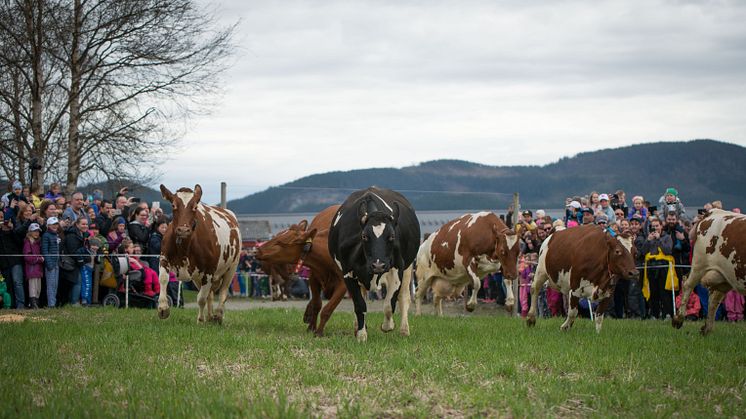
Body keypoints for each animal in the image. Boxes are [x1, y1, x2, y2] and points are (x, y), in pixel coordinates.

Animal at [155, 185, 240, 324]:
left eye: (195, 206)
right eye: (173, 205)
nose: (183, 230)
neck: (184, 248)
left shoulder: (209, 270)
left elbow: (201, 298)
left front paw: (200, 320)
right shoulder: (164, 258)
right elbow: (163, 279)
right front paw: (163, 308)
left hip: (232, 267)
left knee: (222, 293)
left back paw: (218, 315)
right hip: (197, 277)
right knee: (210, 295)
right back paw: (210, 316)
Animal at [254, 206, 344, 338]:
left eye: (280, 242)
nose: (257, 250)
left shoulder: (344, 284)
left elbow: (328, 309)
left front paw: (319, 332)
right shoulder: (313, 278)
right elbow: (317, 304)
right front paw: (311, 328)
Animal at [328, 189, 422, 342]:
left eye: (392, 236)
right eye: (364, 236)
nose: (378, 265)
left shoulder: (397, 269)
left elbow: (389, 304)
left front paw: (387, 326)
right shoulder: (348, 272)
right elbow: (359, 305)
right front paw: (361, 335)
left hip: (408, 267)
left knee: (404, 297)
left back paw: (404, 330)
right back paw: (358, 327)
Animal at [668, 208, 744, 336]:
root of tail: (713, 211)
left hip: (725, 275)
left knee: (714, 299)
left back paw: (707, 328)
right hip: (700, 265)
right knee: (688, 285)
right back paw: (678, 320)